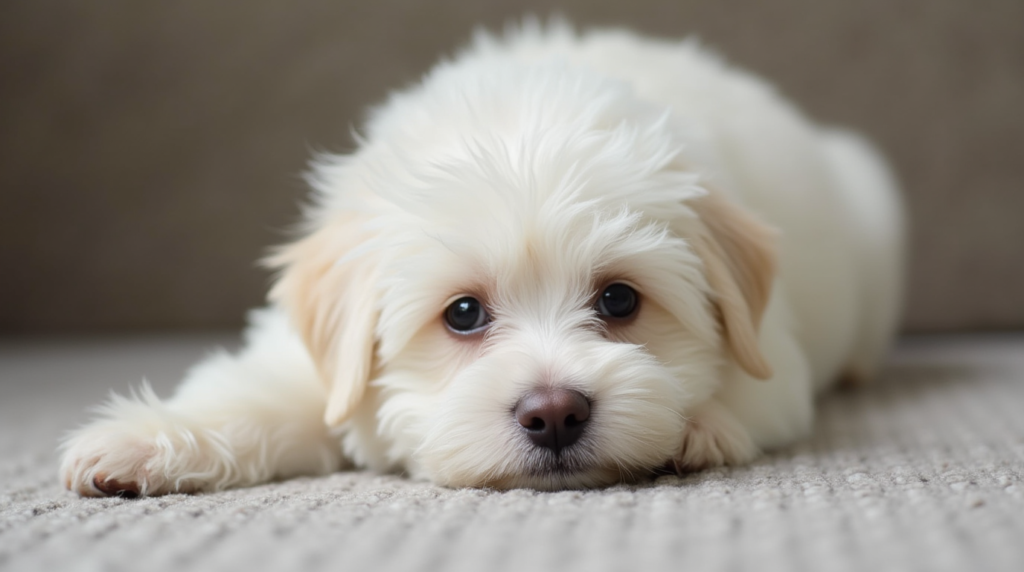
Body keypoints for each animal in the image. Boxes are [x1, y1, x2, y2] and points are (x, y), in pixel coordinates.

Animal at [59, 23, 901, 497]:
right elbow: (258, 391)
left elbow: (746, 388)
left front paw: (698, 427)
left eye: (620, 301)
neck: (527, 117)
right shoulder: (312, 359)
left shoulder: (778, 356)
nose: (554, 413)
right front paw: (144, 441)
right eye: (462, 313)